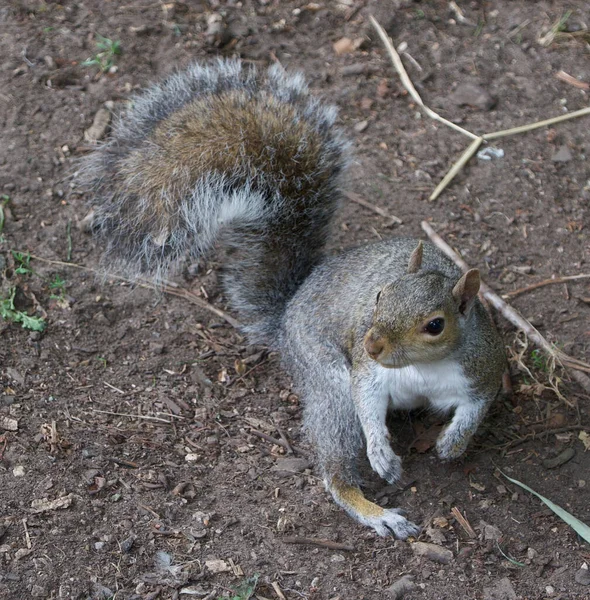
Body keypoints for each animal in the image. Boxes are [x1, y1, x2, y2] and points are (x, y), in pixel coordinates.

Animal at [81, 59, 508, 540]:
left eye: (435, 325)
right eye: (380, 294)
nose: (371, 343)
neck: (423, 369)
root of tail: (287, 314)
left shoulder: (483, 367)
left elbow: (477, 407)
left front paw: (453, 443)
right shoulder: (366, 374)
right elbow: (366, 399)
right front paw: (381, 452)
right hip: (326, 379)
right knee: (336, 467)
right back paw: (376, 511)